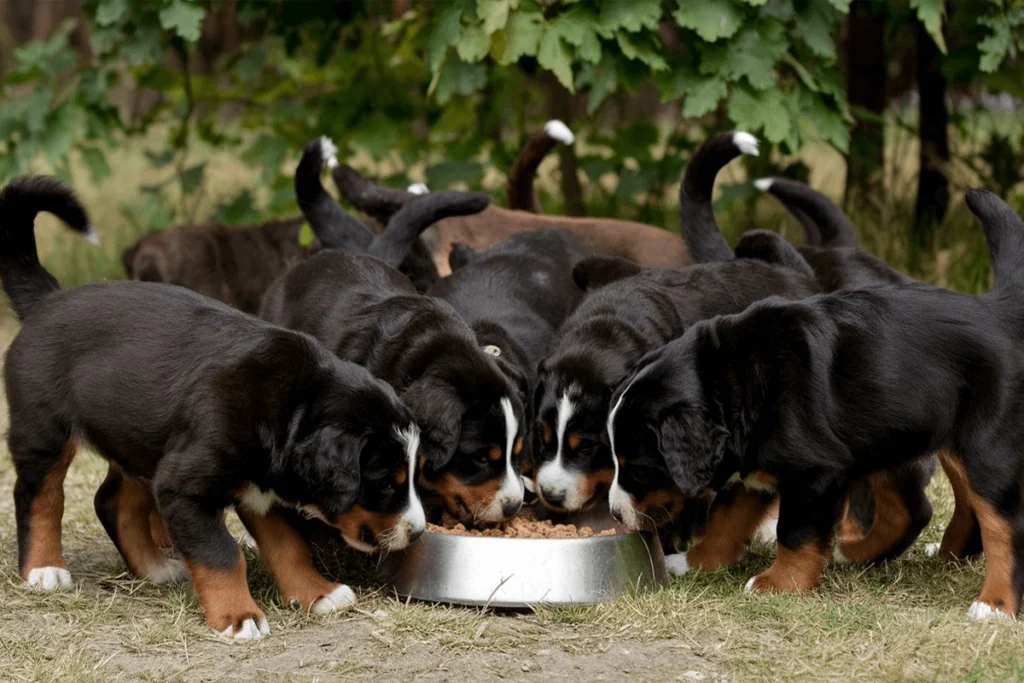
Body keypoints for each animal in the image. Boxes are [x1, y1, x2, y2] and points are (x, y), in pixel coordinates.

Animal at [0, 176, 423, 643]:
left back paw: (154, 568)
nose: (418, 531)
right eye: (384, 483)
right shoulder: (184, 489)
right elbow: (222, 555)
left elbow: (289, 546)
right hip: (45, 429)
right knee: (39, 495)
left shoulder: (260, 491)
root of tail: (47, 300)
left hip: (142, 441)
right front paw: (239, 616)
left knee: (112, 501)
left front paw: (318, 593)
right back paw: (44, 569)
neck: (286, 404)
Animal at [606, 185, 1024, 618]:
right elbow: (727, 520)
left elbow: (795, 532)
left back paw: (994, 603)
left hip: (983, 445)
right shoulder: (753, 465)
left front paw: (778, 584)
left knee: (1002, 523)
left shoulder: (813, 473)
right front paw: (694, 562)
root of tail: (993, 309)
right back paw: (868, 554)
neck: (738, 377)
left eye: (639, 470)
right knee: (915, 508)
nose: (614, 513)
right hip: (895, 434)